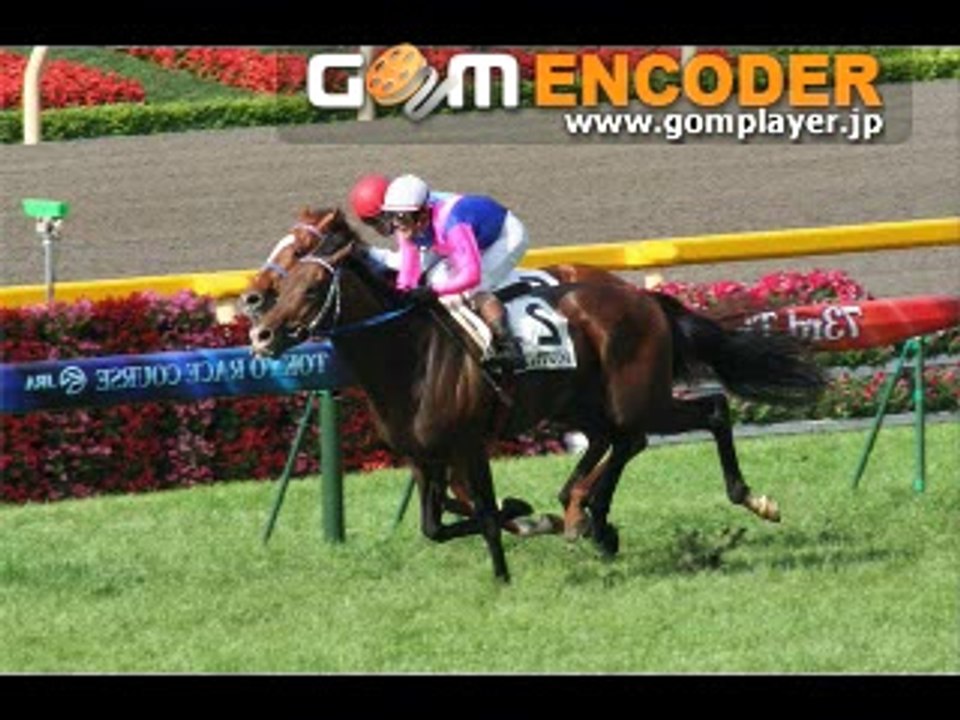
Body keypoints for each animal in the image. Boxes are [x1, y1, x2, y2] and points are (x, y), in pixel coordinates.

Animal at [247, 209, 826, 582]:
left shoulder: (468, 445)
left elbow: (482, 513)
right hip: (581, 403)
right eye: (288, 277)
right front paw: (533, 515)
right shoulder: (423, 457)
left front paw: (506, 569)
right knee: (622, 441)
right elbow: (436, 525)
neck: (410, 356)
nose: (260, 327)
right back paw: (587, 515)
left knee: (708, 411)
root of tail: (644, 298)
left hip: (638, 396)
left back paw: (749, 499)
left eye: (311, 286)